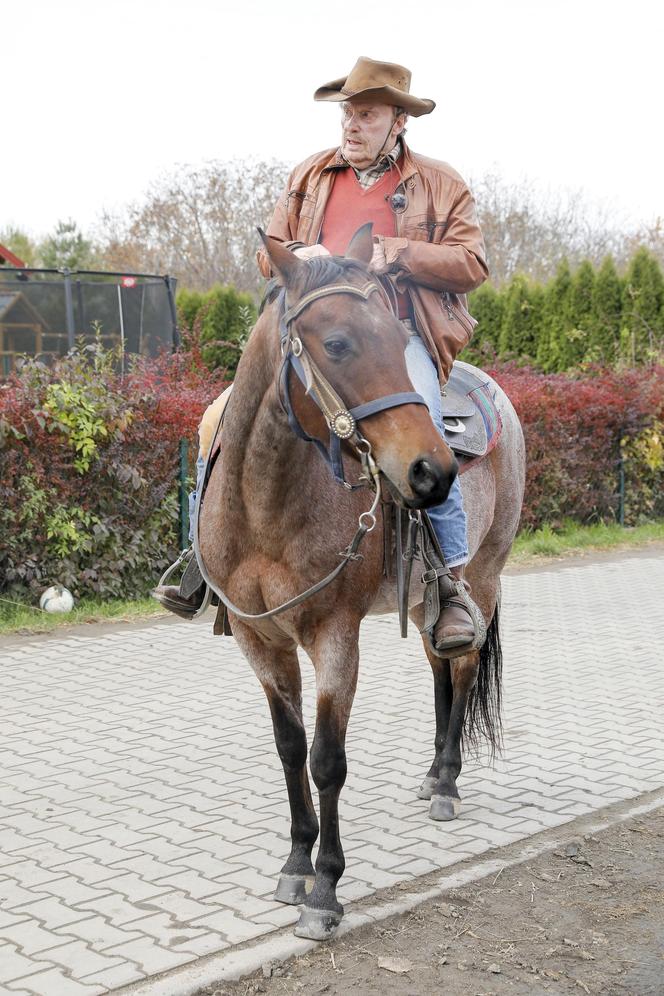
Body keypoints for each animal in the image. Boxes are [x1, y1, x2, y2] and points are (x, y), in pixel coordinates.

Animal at [197, 226, 524, 940]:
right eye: (338, 343)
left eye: (399, 339)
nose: (432, 471)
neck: (267, 504)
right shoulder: (260, 640)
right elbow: (290, 747)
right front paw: (296, 860)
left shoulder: (334, 636)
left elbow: (327, 759)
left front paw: (325, 888)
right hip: (431, 598)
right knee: (440, 665)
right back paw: (433, 774)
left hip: (483, 577)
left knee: (462, 670)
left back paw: (448, 784)